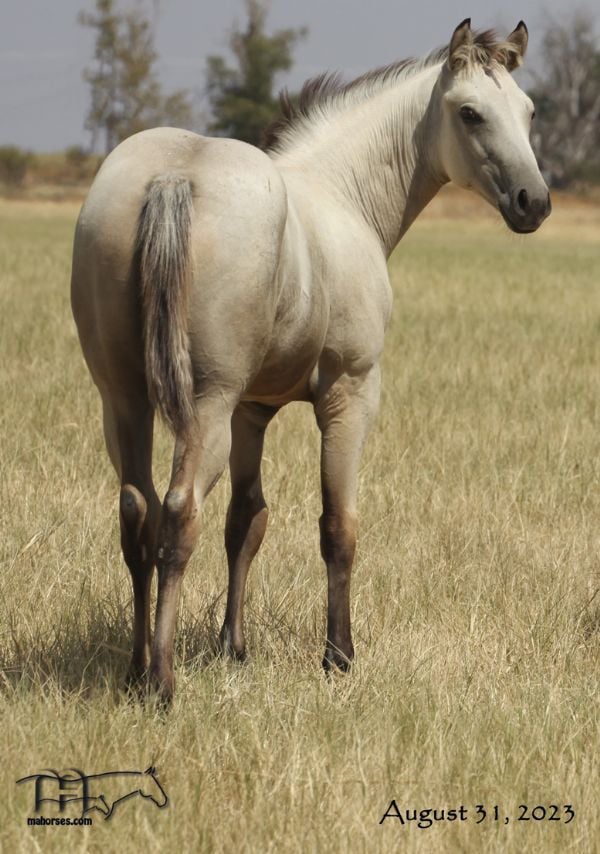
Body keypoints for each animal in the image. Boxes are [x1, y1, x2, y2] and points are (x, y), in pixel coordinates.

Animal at [69, 20, 548, 704]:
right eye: (470, 113)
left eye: (529, 111)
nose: (534, 202)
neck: (343, 195)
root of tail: (173, 178)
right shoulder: (350, 396)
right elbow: (338, 527)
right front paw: (339, 656)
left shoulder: (252, 411)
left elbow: (246, 521)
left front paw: (233, 647)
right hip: (204, 408)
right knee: (178, 515)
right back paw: (161, 680)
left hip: (124, 401)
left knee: (138, 513)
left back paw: (136, 669)